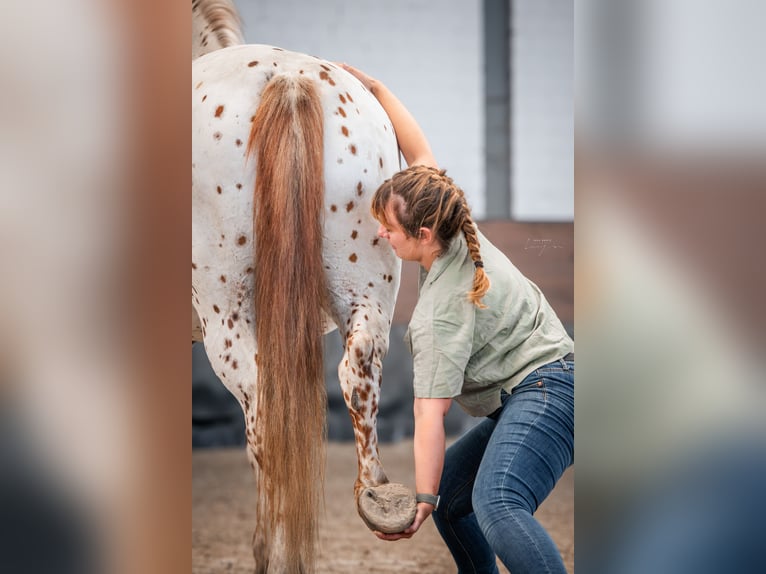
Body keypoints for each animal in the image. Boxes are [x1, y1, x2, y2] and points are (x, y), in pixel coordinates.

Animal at [192, 4, 416, 572]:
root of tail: (288, 78)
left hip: (227, 322)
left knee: (264, 415)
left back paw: (267, 549)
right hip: (364, 298)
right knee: (357, 367)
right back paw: (378, 500)